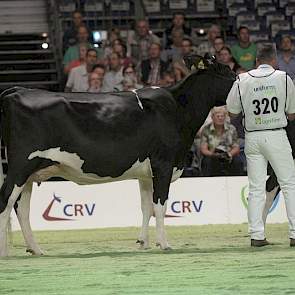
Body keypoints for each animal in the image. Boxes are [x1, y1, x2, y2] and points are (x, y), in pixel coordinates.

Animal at [0, 55, 236, 256]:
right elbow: (160, 205)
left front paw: (143, 243)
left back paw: (36, 249)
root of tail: (17, 90)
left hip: (30, 173)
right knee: (6, 201)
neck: (178, 108)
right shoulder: (164, 164)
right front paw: (164, 244)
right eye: (227, 72)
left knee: (22, 208)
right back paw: (6, 253)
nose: (240, 77)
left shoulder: (146, 173)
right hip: (20, 166)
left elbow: (146, 207)